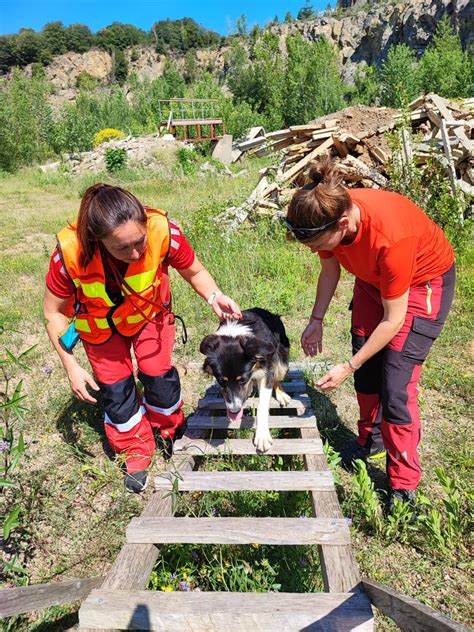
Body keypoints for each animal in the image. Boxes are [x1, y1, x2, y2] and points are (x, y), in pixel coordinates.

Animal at [199, 308, 290, 452]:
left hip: (281, 359)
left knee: (277, 375)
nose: (234, 411)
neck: (234, 334)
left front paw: (262, 436)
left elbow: (262, 406)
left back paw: (281, 394)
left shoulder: (266, 370)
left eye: (242, 379)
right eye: (222, 381)